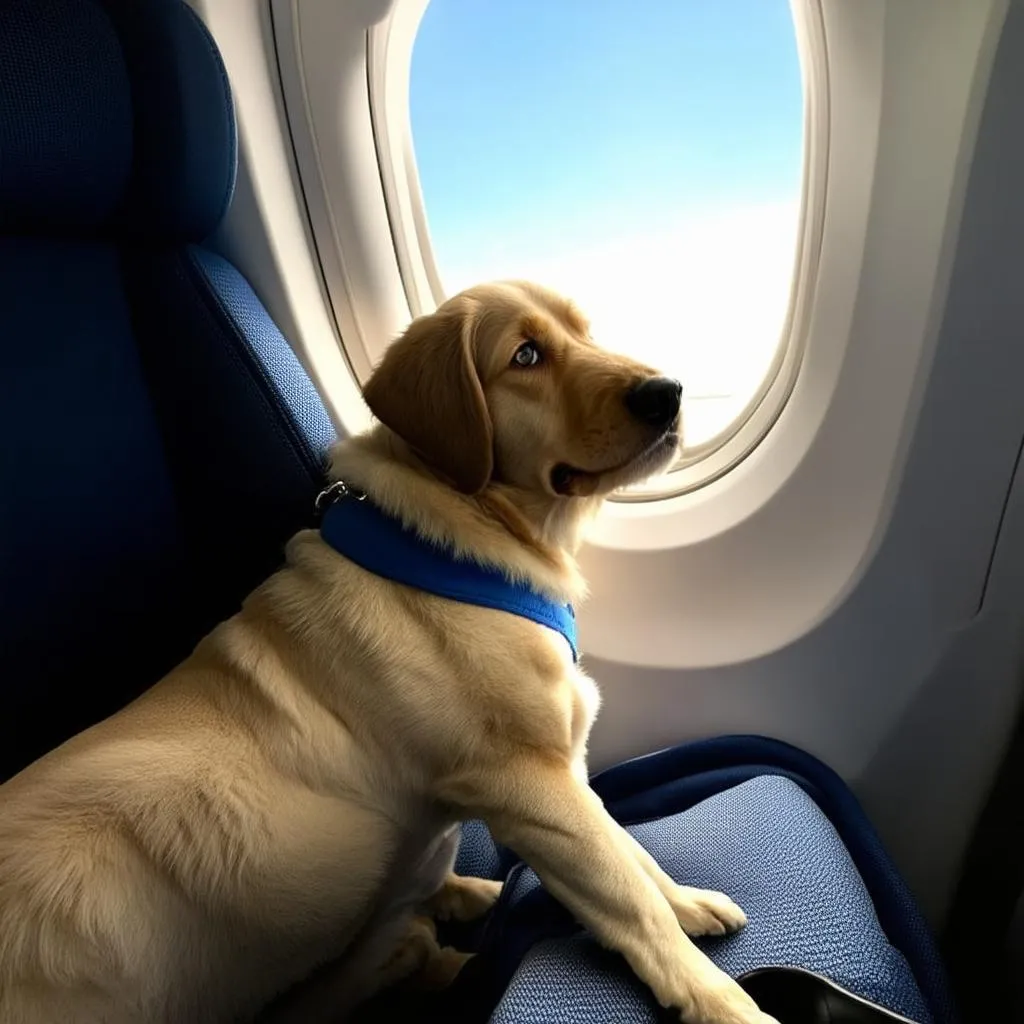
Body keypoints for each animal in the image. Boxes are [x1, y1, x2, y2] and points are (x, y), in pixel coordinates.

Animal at [0, 280, 774, 1024]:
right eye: (525, 356)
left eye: (586, 332)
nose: (667, 391)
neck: (459, 537)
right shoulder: (529, 786)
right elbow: (626, 897)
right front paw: (717, 999)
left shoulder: (564, 781)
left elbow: (631, 852)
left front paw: (686, 901)